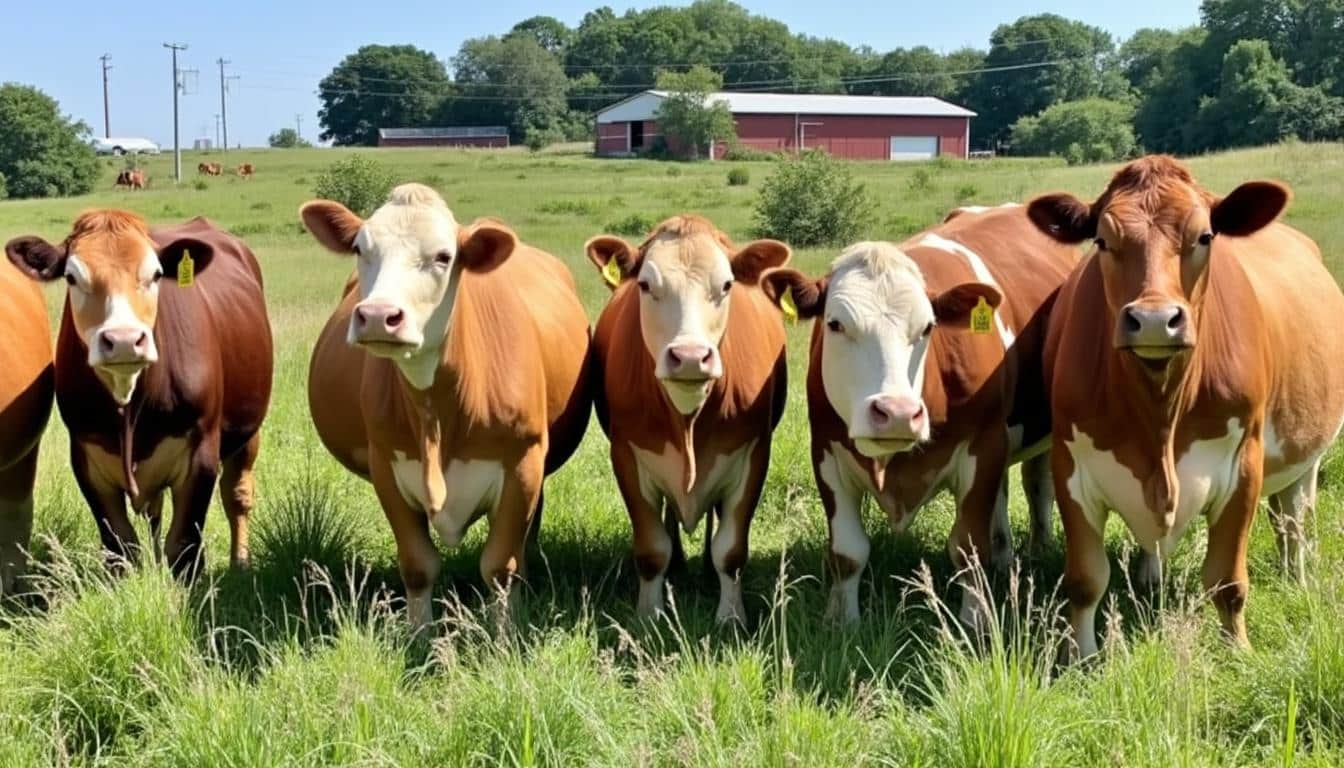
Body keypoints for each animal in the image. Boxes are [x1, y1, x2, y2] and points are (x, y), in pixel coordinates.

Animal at [4, 212, 273, 578]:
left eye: (156, 274)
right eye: (72, 277)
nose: (123, 340)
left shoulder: (201, 455)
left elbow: (183, 547)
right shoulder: (88, 461)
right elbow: (121, 547)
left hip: (248, 431)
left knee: (238, 496)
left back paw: (240, 562)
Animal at [301, 184, 592, 629]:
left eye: (442, 256)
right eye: (360, 249)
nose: (378, 316)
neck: (437, 412)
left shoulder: (523, 464)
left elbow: (501, 567)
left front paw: (504, 634)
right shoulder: (386, 465)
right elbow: (418, 564)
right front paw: (418, 634)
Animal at [585, 215, 790, 623]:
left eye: (726, 285)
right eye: (645, 285)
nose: (691, 357)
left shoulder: (753, 454)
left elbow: (731, 549)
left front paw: (731, 616)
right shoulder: (627, 456)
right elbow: (652, 549)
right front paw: (649, 614)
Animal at [760, 205, 1078, 626]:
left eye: (928, 327)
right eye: (835, 324)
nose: (896, 413)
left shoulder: (983, 446)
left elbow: (968, 546)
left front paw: (974, 620)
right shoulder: (826, 452)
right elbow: (847, 552)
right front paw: (842, 621)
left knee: (1037, 484)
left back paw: (1038, 548)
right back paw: (1004, 554)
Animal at [1027, 155, 1344, 657]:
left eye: (1205, 236)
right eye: (1102, 240)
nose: (1155, 319)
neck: (1160, 412)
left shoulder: (1245, 465)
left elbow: (1228, 581)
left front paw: (1238, 652)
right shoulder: (1070, 465)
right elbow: (1085, 580)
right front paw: (1082, 656)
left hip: (1307, 455)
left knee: (1295, 516)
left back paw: (1296, 575)